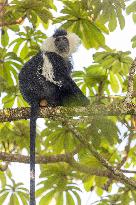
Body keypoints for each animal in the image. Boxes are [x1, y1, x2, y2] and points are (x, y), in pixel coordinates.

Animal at [18, 29, 89, 205]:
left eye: (64, 39)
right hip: (48, 90)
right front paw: (88, 102)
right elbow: (63, 79)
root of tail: (34, 99)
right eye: (57, 41)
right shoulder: (54, 59)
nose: (62, 43)